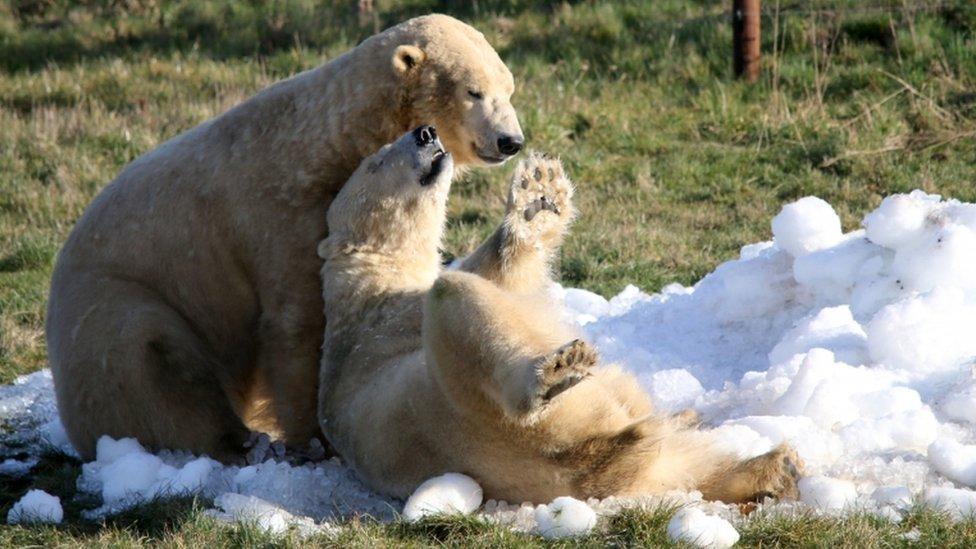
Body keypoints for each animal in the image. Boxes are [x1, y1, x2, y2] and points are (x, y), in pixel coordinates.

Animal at [320, 126, 808, 504]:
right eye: (376, 162)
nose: (425, 131)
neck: (368, 273)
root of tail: (580, 463)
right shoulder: (390, 316)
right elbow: (492, 278)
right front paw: (534, 201)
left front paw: (540, 195)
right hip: (461, 410)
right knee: (457, 305)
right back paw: (554, 373)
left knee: (682, 464)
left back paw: (772, 467)